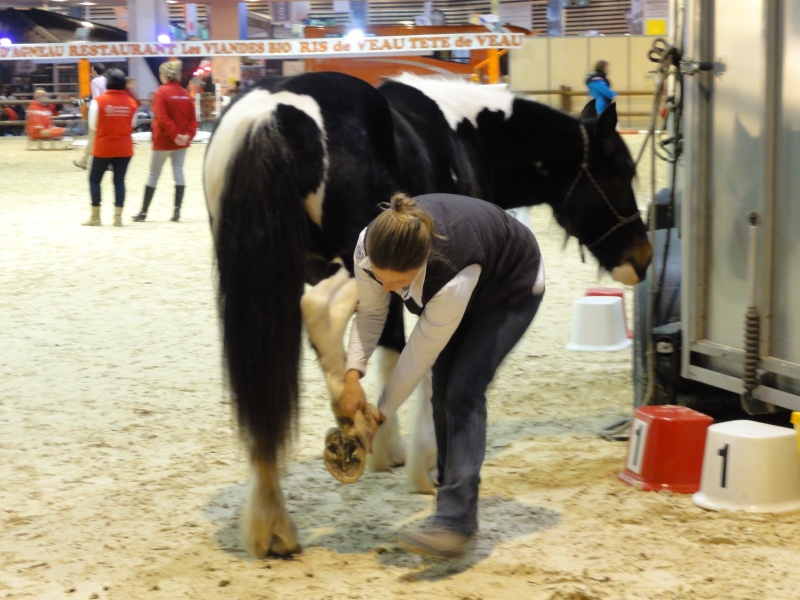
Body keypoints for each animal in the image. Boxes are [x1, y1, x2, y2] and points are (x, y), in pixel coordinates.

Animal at [203, 71, 652, 556]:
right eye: (621, 171)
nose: (642, 259)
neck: (469, 133)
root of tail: (271, 114)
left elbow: (390, 351)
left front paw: (389, 449)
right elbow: (426, 368)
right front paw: (423, 460)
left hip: (261, 283)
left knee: (263, 384)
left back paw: (273, 521)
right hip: (346, 261)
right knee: (319, 310)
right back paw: (344, 419)